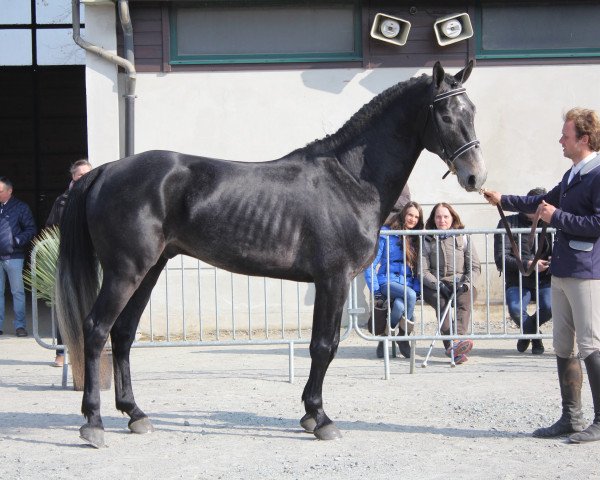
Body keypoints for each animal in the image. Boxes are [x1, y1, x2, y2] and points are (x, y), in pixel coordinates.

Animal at [56, 60, 488, 446]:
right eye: (446, 114)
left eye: (473, 110)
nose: (475, 176)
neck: (348, 180)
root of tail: (107, 170)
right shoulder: (333, 279)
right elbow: (323, 347)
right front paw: (320, 418)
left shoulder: (329, 282)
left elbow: (321, 345)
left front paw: (310, 415)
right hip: (125, 271)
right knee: (96, 330)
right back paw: (93, 423)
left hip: (148, 270)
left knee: (123, 334)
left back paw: (135, 414)